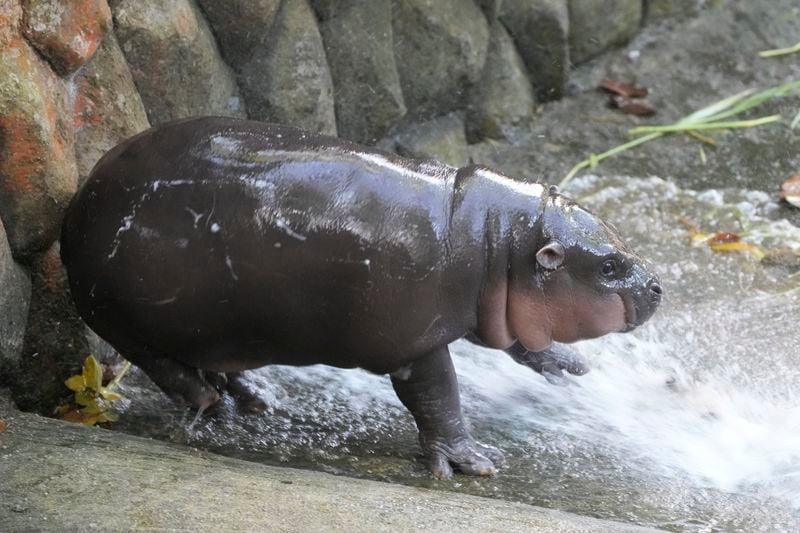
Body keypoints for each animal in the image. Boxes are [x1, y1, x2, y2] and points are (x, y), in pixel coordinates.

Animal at [61, 117, 664, 478]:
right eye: (610, 266)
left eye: (620, 243)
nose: (658, 286)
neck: (497, 237)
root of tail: (78, 202)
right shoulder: (413, 343)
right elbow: (438, 398)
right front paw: (471, 461)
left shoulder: (486, 306)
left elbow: (512, 340)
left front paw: (564, 364)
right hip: (124, 321)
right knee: (166, 368)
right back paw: (213, 407)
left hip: (217, 330)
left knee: (211, 363)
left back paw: (254, 398)